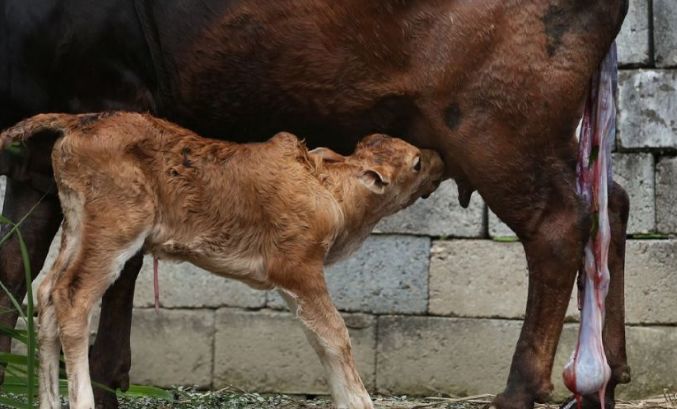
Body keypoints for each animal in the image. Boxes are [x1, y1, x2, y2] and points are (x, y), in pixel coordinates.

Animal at [0, 111, 444, 408]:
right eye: (416, 162)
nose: (439, 158)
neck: (331, 192)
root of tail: (76, 121)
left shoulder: (291, 283)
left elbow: (319, 339)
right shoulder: (298, 267)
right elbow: (336, 335)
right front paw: (359, 400)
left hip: (78, 225)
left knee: (46, 291)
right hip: (114, 229)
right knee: (72, 296)